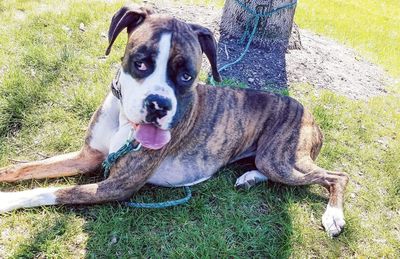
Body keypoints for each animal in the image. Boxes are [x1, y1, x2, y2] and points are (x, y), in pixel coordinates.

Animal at [0, 5, 348, 238]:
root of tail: (308, 112)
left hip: (281, 158)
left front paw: (6, 200)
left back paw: (333, 215)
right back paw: (249, 178)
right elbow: (23, 169)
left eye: (187, 76)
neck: (124, 119)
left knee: (335, 176)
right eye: (141, 63)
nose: (158, 105)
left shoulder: (115, 186)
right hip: (272, 159)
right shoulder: (88, 156)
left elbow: (52, 191)